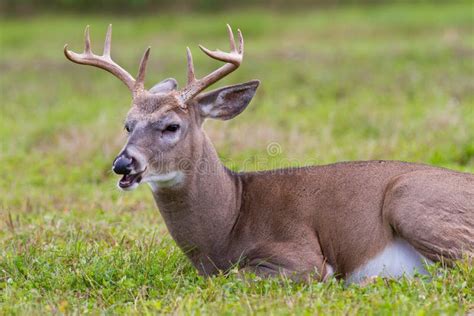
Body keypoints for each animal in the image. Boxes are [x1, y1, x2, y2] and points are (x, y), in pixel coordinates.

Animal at [65, 23, 474, 282]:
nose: (123, 164)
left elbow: (239, 278)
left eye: (171, 126)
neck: (228, 225)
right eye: (127, 125)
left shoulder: (301, 254)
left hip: (410, 198)